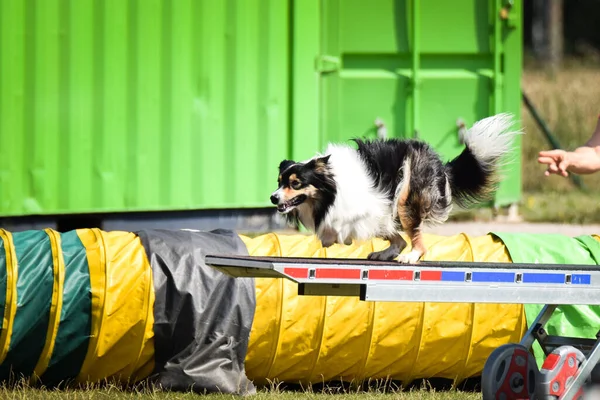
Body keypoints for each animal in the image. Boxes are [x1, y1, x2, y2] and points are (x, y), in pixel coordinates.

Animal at [270, 112, 524, 262]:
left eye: (295, 184)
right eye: (279, 182)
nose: (273, 198)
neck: (331, 189)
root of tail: (440, 164)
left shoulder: (368, 208)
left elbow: (346, 226)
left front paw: (341, 237)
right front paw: (330, 239)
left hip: (405, 197)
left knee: (416, 240)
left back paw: (410, 257)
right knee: (400, 239)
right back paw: (385, 254)